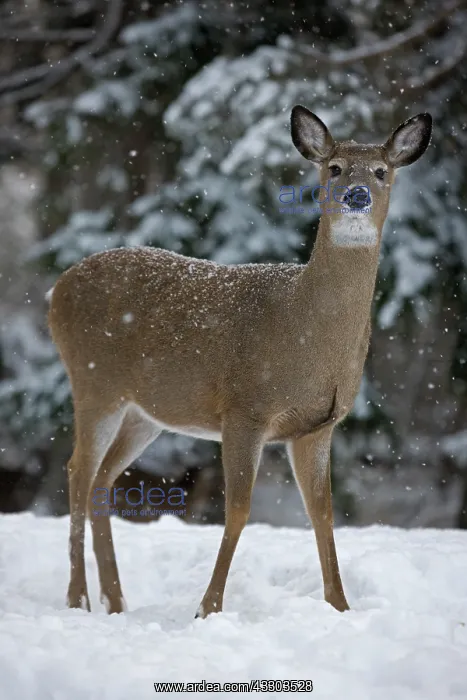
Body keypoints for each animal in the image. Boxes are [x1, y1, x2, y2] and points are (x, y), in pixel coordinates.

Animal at [47, 105, 432, 617]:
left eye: (381, 171)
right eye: (333, 168)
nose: (356, 194)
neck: (307, 332)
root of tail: (58, 289)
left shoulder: (318, 426)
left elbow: (323, 511)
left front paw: (340, 607)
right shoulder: (245, 409)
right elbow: (239, 510)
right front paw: (208, 608)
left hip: (144, 411)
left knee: (103, 480)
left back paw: (116, 600)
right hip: (94, 383)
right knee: (77, 471)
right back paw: (78, 598)